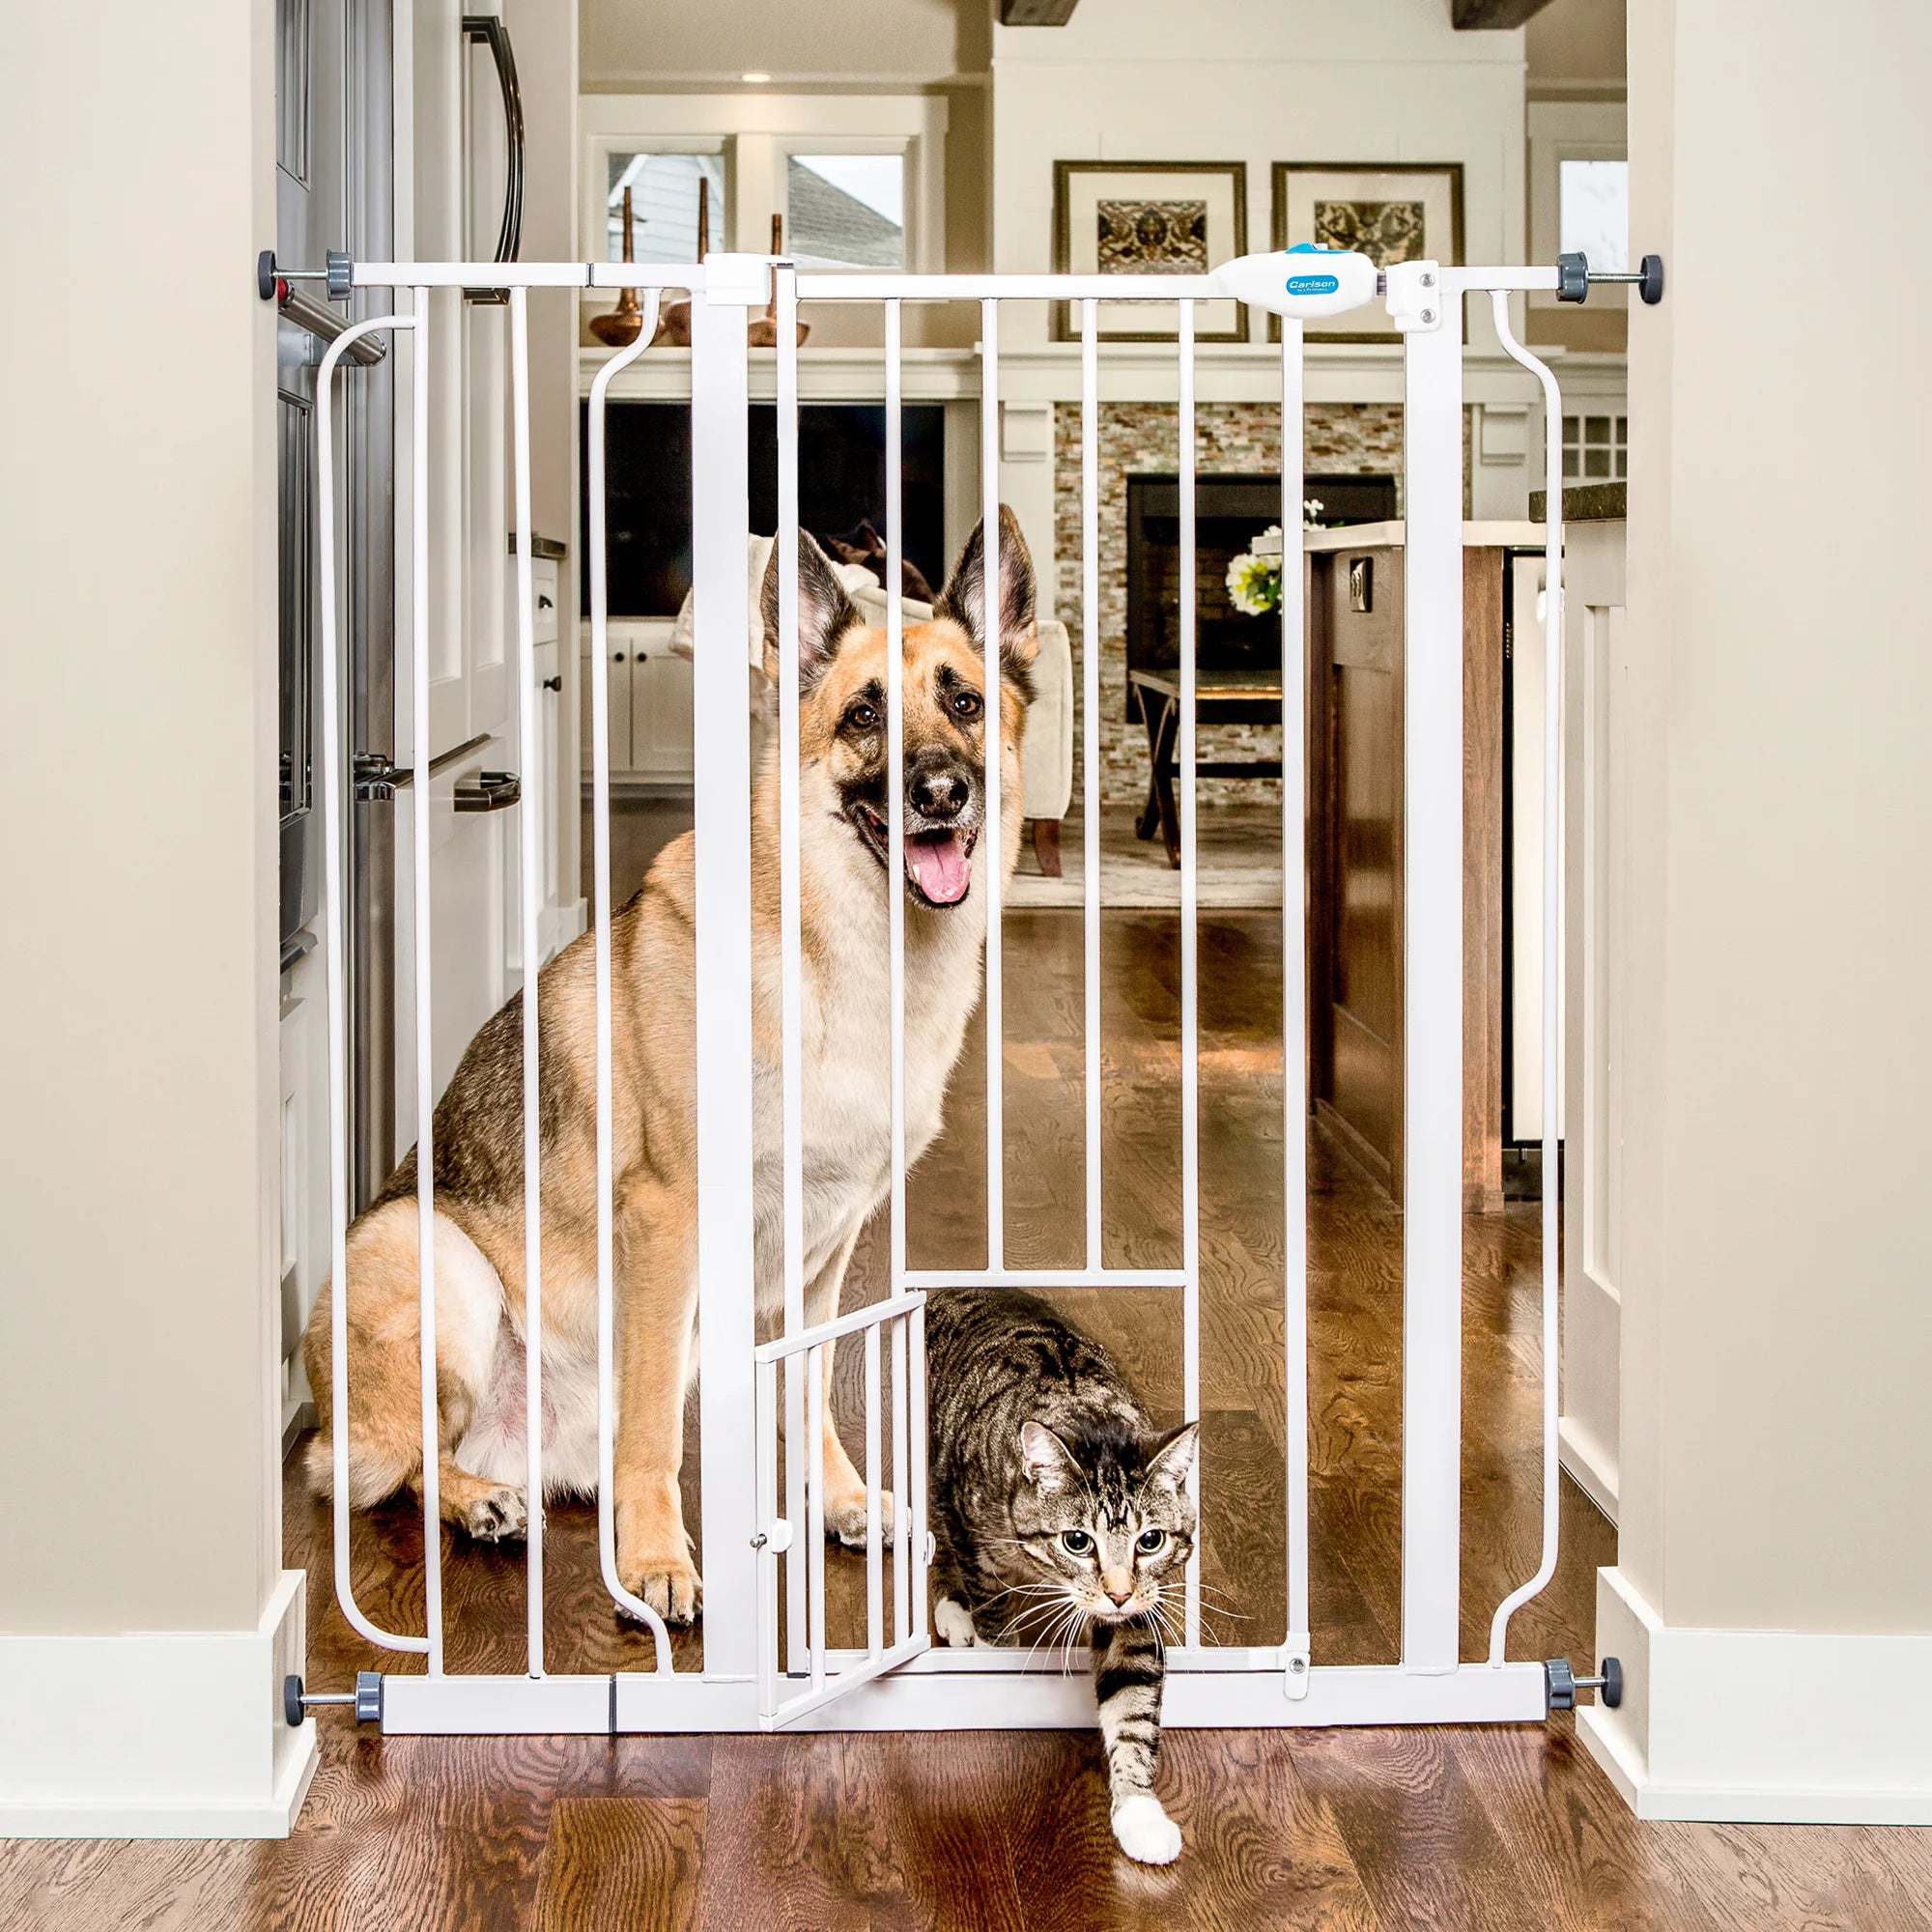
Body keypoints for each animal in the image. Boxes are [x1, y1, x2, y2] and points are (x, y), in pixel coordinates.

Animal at [298, 510, 1043, 1615]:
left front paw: (837, 1497)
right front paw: (655, 1555)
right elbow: (652, 1423)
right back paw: (482, 1502)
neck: (846, 958)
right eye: (864, 714)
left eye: (964, 701)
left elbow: (807, 1385)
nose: (941, 792)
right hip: (428, 1254)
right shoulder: (667, 1218)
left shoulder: (826, 1249)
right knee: (408, 1462)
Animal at [920, 1291, 1190, 1862]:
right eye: (1077, 1541)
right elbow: (995, 1621)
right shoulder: (978, 1543)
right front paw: (990, 1660)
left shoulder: (1140, 1607)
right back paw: (955, 1610)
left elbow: (1132, 1700)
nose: (1117, 1593)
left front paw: (1140, 1814)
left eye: (1150, 1540)